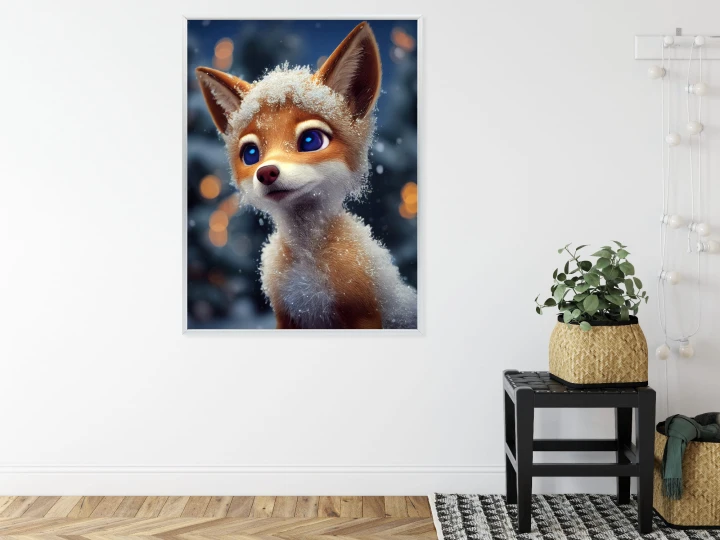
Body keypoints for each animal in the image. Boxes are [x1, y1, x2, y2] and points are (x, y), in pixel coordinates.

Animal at [195, 22, 417, 329]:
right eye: (250, 154)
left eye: (311, 140)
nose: (266, 172)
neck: (307, 265)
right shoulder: (287, 316)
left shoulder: (363, 313)